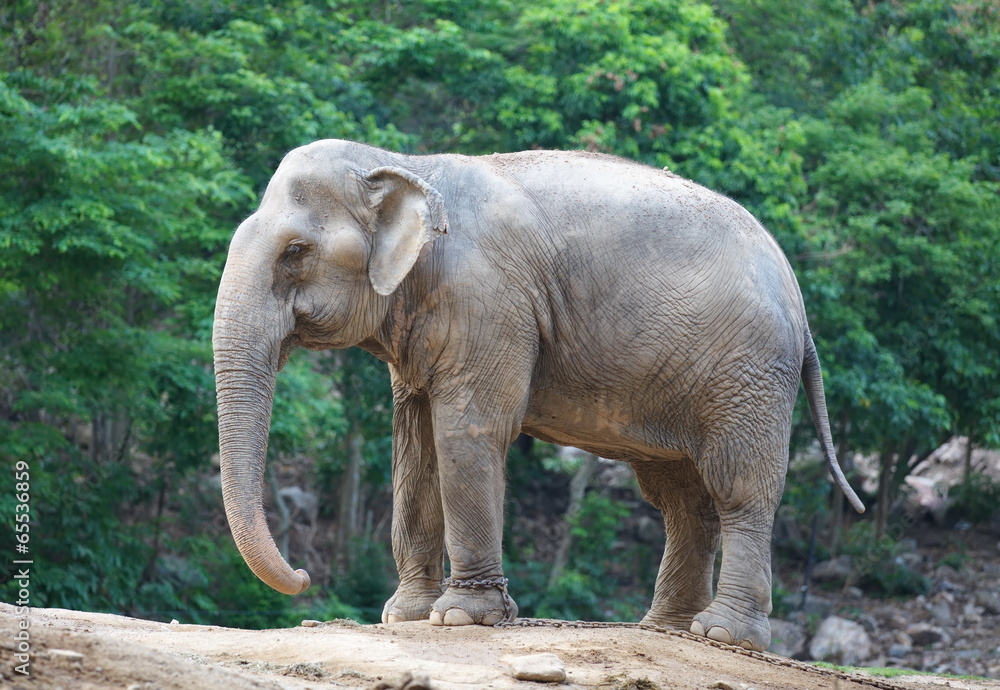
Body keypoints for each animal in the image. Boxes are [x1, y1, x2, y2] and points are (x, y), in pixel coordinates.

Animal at [213, 138, 868, 652]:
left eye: (295, 252)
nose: (303, 574)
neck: (403, 163)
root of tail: (798, 298)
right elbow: (414, 443)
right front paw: (405, 616)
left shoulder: (488, 300)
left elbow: (469, 430)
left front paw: (461, 619)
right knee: (681, 497)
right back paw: (663, 629)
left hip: (747, 373)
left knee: (738, 487)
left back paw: (721, 635)